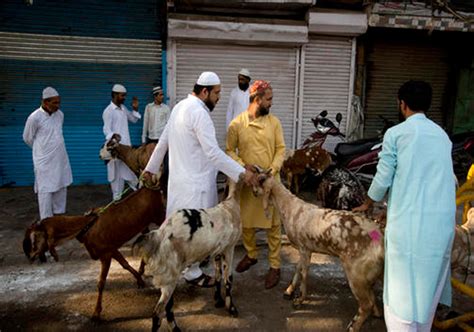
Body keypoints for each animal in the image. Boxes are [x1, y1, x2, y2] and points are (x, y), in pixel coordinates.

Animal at [22, 187, 167, 320]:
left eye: (34, 238)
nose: (29, 257)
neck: (86, 226)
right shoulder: (111, 249)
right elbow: (124, 264)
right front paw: (140, 280)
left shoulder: (106, 254)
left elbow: (101, 283)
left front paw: (96, 312)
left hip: (160, 216)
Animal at [133, 179, 244, 332]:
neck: (230, 205)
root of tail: (161, 233)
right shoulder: (229, 248)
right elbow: (228, 278)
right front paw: (231, 308)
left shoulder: (217, 251)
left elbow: (218, 275)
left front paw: (218, 300)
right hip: (170, 272)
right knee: (158, 311)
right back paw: (175, 328)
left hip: (169, 275)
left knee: (166, 305)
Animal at [254, 171, 384, 332]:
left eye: (260, 180)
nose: (253, 192)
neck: (290, 209)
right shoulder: (305, 248)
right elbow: (298, 268)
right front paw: (289, 291)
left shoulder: (304, 247)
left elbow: (304, 273)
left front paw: (299, 300)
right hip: (375, 272)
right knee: (373, 296)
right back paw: (376, 313)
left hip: (356, 273)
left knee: (366, 304)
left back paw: (353, 327)